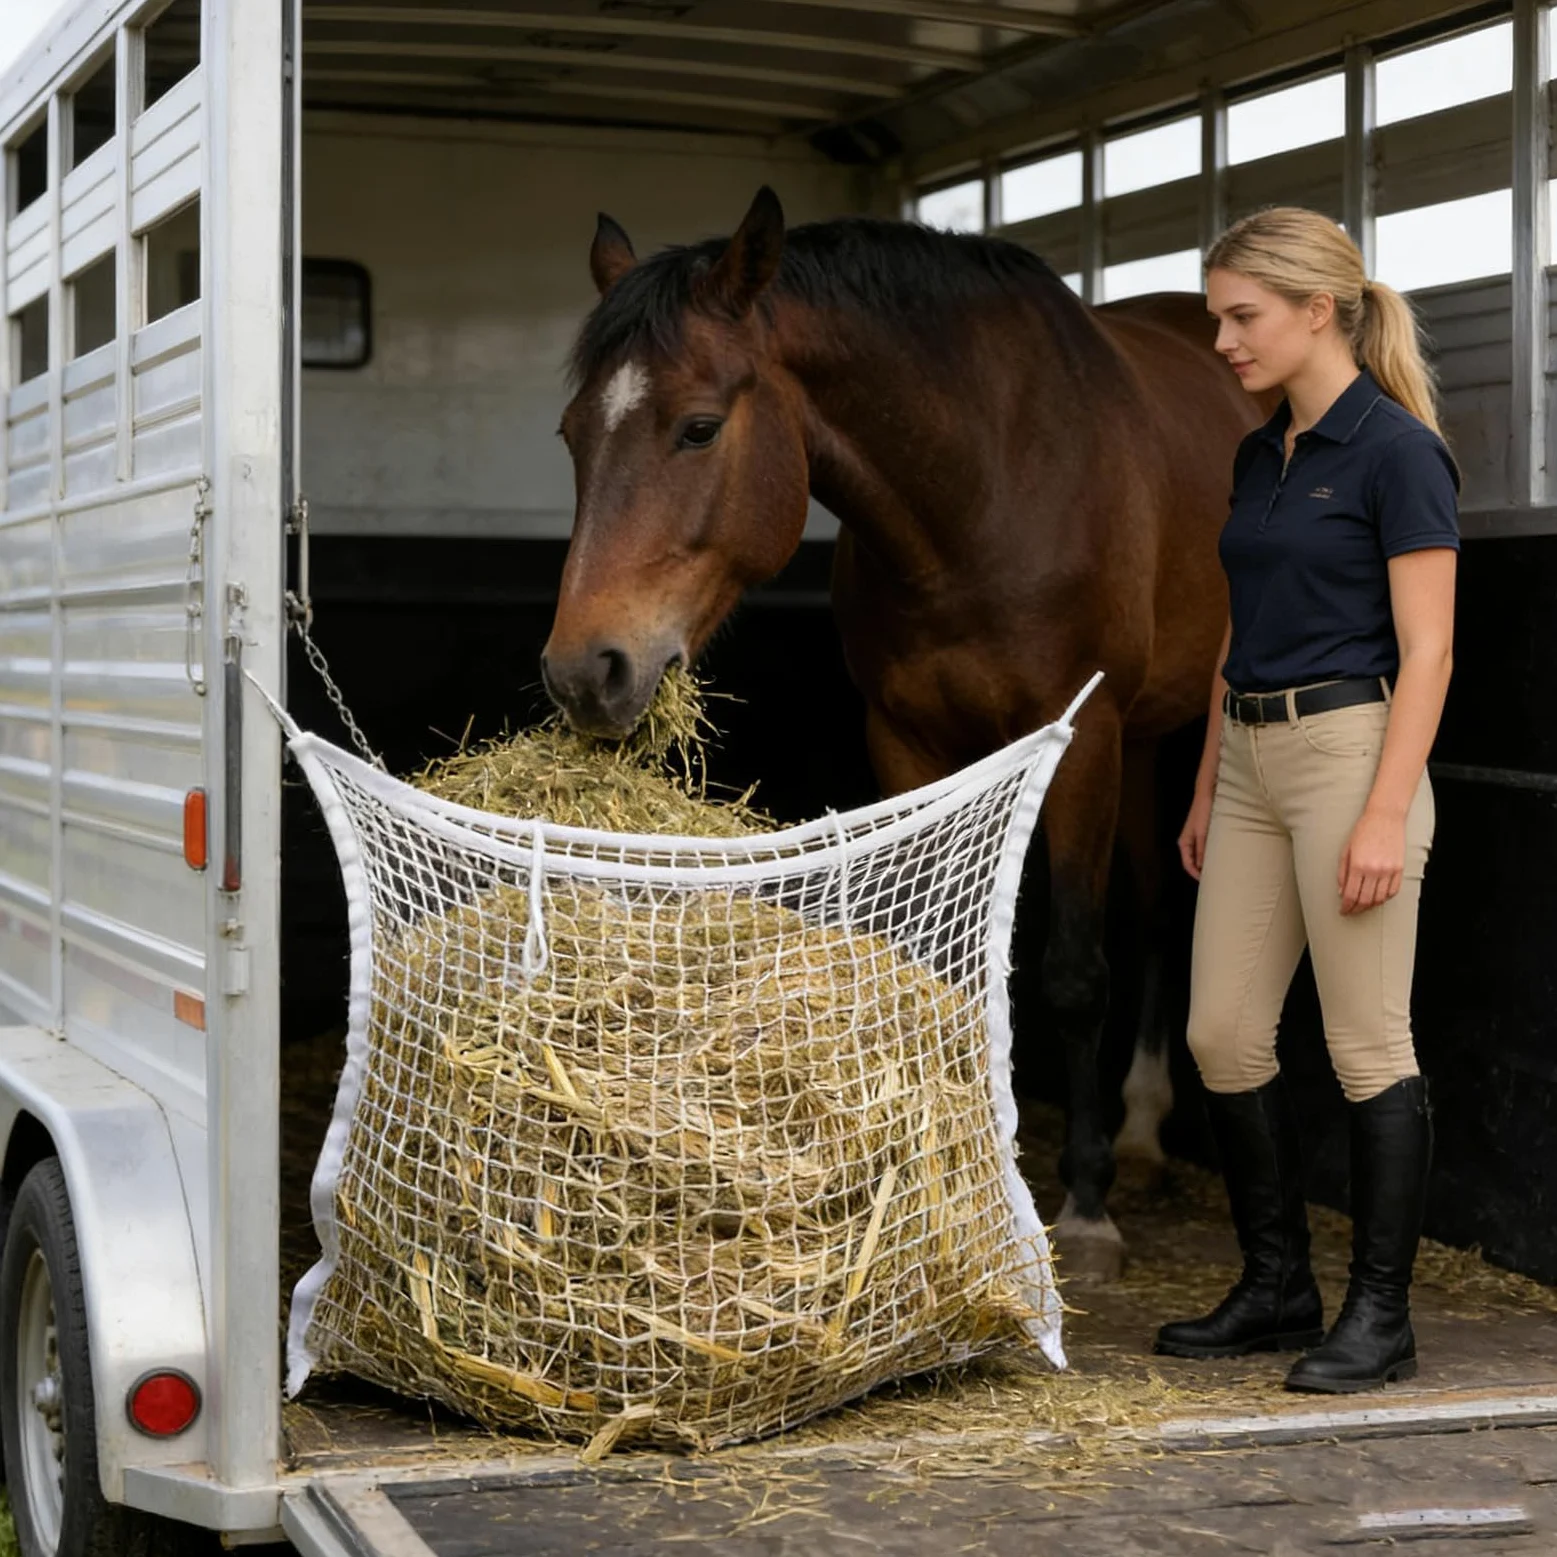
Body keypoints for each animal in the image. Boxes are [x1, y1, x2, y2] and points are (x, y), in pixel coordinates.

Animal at [541, 186, 1264, 1278]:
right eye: (572, 434)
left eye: (699, 428)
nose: (586, 672)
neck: (984, 482)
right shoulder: (907, 739)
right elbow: (932, 949)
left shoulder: (1083, 733)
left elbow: (1071, 974)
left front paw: (1083, 1208)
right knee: (1146, 908)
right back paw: (1143, 1135)